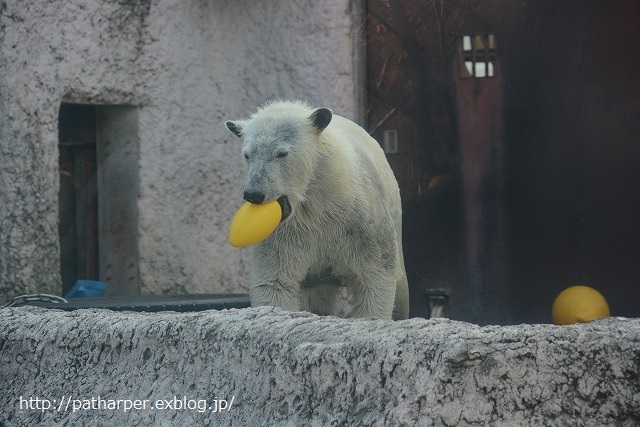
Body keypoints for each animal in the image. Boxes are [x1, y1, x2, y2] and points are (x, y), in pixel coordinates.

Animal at [228, 101, 410, 320]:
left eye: (281, 153)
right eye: (247, 154)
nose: (254, 193)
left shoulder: (361, 221)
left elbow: (376, 273)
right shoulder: (287, 233)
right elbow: (274, 281)